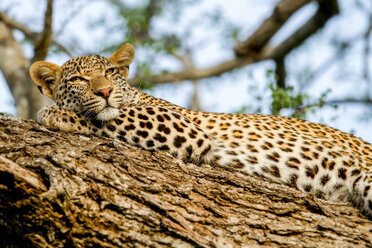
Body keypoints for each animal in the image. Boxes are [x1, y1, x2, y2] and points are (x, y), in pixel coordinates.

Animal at [29, 43, 372, 218]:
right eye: (78, 80)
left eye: (110, 72)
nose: (105, 91)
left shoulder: (178, 125)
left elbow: (110, 118)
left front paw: (55, 113)